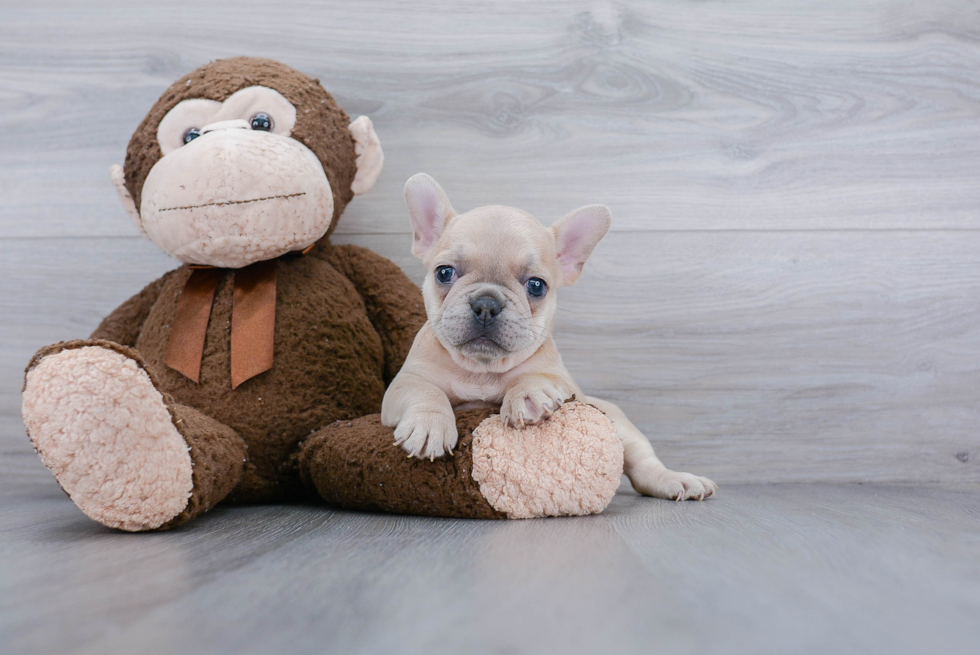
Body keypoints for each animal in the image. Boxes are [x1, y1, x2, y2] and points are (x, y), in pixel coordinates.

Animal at [384, 174, 720, 502]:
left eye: (536, 286)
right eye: (444, 273)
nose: (486, 304)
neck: (481, 370)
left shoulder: (569, 386)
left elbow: (540, 377)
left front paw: (528, 394)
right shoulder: (402, 386)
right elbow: (424, 390)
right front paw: (429, 424)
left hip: (619, 423)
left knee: (642, 465)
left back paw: (678, 480)